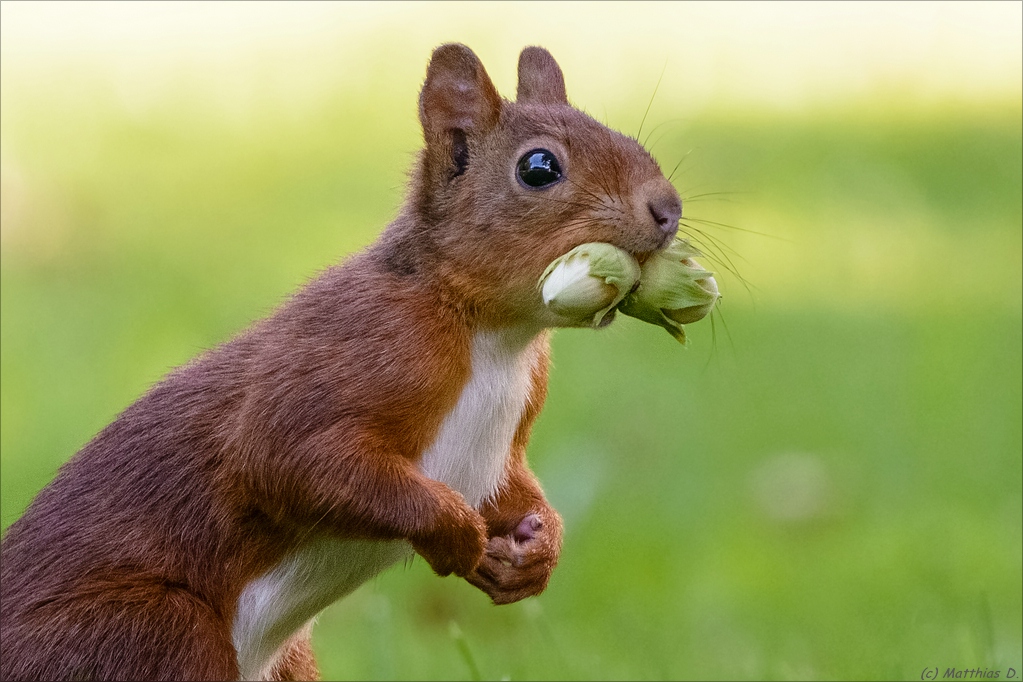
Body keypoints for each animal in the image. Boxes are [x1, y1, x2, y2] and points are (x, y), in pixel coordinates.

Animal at [0, 44, 685, 681]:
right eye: (539, 168)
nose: (668, 208)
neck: (496, 337)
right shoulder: (357, 349)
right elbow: (289, 456)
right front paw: (455, 532)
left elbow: (513, 484)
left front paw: (536, 551)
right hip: (152, 630)